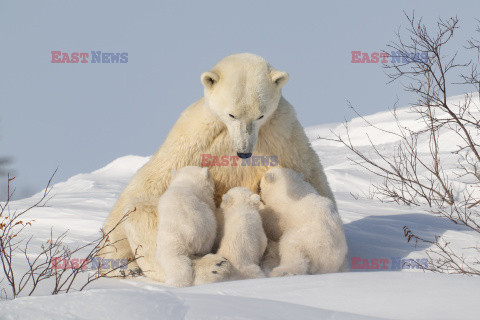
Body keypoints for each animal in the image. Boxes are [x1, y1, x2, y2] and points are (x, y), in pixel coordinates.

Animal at [99, 52, 344, 282]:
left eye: (260, 115)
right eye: (231, 114)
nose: (244, 151)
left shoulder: (281, 132)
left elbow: (310, 176)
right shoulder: (197, 134)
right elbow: (154, 180)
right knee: (140, 215)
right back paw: (208, 266)